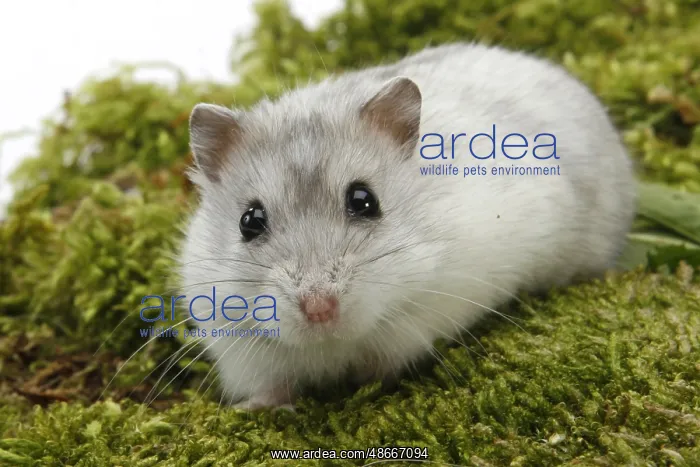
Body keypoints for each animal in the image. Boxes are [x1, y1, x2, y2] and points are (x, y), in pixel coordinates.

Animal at [178, 42, 636, 410]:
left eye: (364, 200)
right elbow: (272, 386)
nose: (319, 309)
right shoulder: (240, 347)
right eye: (249, 222)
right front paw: (254, 409)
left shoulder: (428, 310)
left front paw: (366, 385)